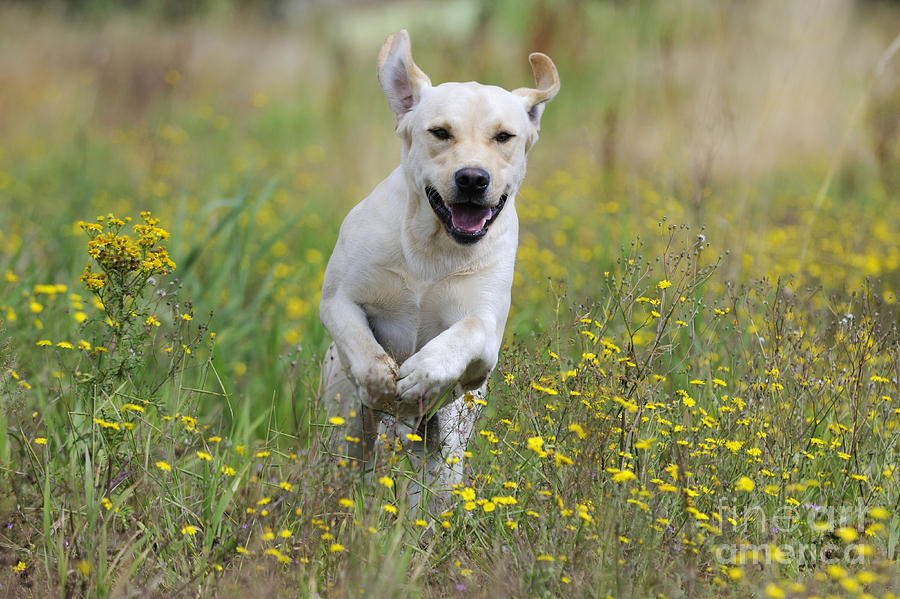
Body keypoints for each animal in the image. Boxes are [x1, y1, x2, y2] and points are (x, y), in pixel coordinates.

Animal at [316, 29, 556, 510]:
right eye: (440, 133)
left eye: (504, 136)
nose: (473, 178)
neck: (433, 247)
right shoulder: (338, 301)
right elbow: (365, 350)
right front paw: (386, 385)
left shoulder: (485, 331)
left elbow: (463, 334)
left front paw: (420, 376)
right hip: (343, 426)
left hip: (445, 452)